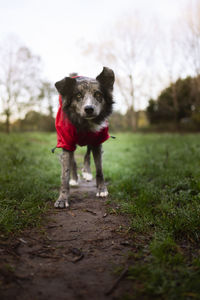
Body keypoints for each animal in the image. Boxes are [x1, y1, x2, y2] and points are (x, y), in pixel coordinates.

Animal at [54, 66, 115, 207]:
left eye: (98, 94)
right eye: (78, 95)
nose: (89, 109)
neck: (84, 123)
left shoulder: (98, 141)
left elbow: (99, 170)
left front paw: (102, 189)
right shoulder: (66, 142)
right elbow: (65, 174)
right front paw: (62, 198)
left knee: (87, 153)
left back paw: (87, 172)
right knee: (73, 161)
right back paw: (74, 179)